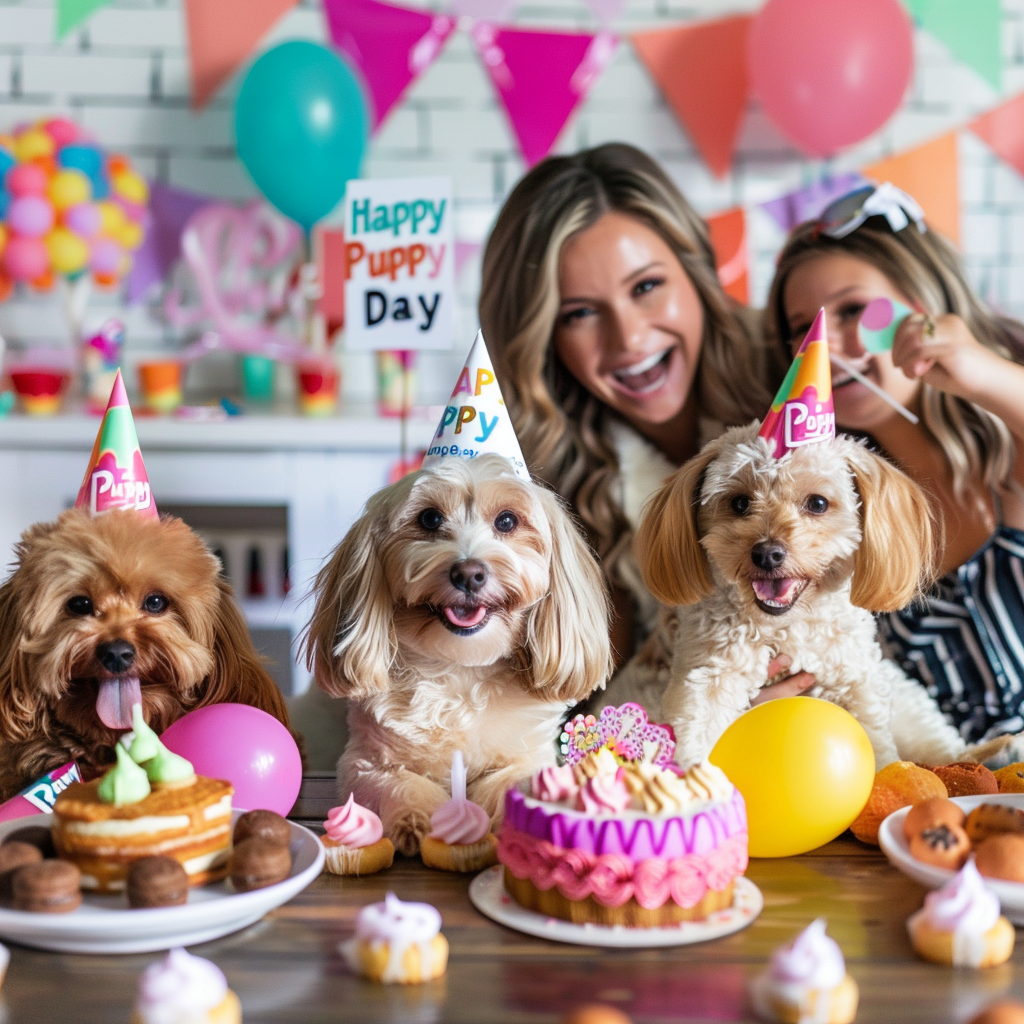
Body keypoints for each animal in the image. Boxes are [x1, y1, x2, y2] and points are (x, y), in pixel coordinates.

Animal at [301, 456, 606, 856]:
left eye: (507, 521)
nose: (469, 573)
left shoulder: (533, 755)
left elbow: (511, 783)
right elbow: (399, 783)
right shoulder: (364, 762)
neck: (460, 667)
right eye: (430, 518)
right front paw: (421, 819)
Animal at [598, 421, 1015, 770]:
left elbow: (877, 747)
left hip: (901, 692)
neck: (787, 628)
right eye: (739, 503)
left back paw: (990, 752)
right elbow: (694, 738)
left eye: (817, 503)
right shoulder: (706, 680)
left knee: (941, 749)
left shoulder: (856, 679)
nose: (767, 553)